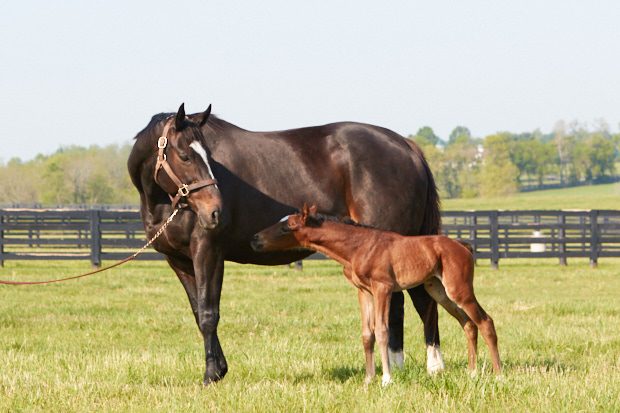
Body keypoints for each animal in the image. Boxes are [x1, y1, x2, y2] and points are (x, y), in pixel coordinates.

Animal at [252, 204, 498, 384]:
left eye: (288, 227)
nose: (255, 240)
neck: (359, 247)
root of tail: (463, 246)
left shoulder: (383, 289)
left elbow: (382, 330)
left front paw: (386, 379)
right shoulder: (364, 292)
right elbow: (366, 334)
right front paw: (368, 379)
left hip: (459, 289)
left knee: (485, 321)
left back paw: (498, 374)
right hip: (440, 291)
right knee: (469, 323)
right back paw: (472, 373)